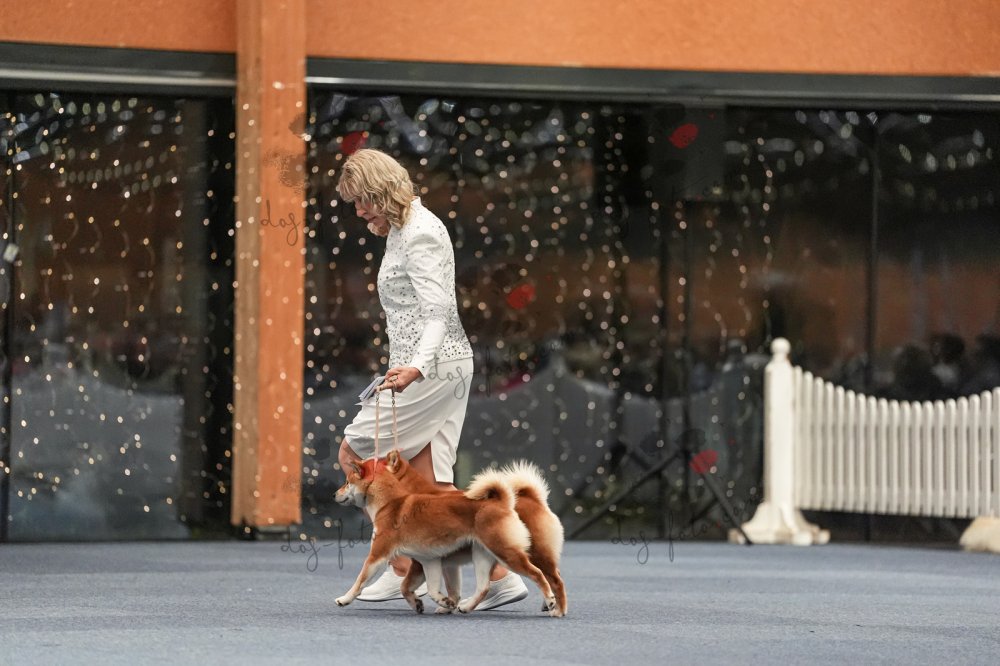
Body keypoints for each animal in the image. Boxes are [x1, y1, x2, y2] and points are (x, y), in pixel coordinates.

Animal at [333, 450, 563, 616]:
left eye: (347, 482)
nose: (334, 494)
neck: (391, 502)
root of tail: (505, 501)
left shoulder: (378, 554)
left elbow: (361, 581)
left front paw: (344, 599)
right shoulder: (430, 561)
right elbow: (420, 588)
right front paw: (438, 603)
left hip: (509, 552)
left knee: (542, 576)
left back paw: (554, 606)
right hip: (482, 556)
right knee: (484, 587)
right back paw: (467, 607)